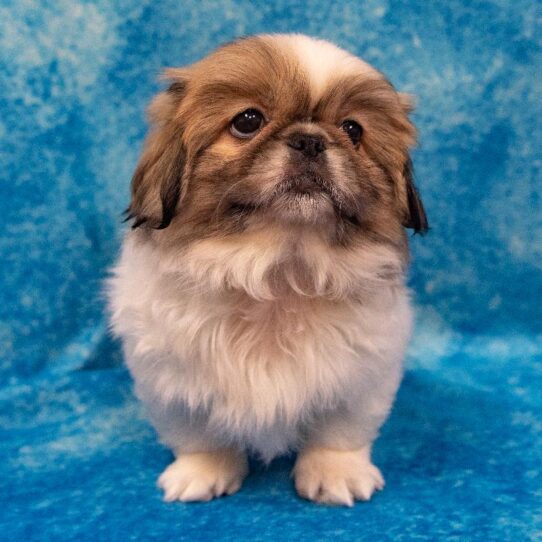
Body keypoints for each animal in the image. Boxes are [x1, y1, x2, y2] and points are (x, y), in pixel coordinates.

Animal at [107, 34, 430, 508]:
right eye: (248, 121)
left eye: (353, 130)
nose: (311, 140)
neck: (280, 269)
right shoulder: (170, 378)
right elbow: (197, 434)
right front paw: (202, 472)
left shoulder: (365, 375)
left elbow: (341, 430)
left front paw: (336, 473)